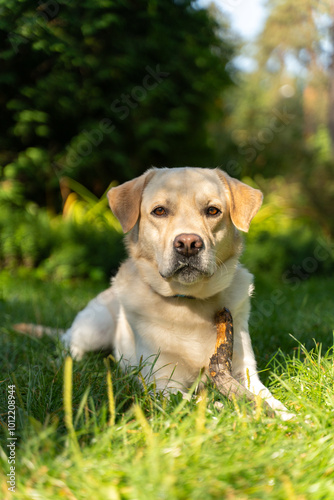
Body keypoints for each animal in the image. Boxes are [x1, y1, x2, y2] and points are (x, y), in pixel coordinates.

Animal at [61, 167, 290, 418]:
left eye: (213, 210)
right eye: (159, 211)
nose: (188, 244)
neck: (189, 302)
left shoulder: (244, 370)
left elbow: (266, 397)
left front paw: (288, 416)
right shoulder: (163, 381)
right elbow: (195, 405)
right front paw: (224, 411)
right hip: (96, 328)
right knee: (70, 343)